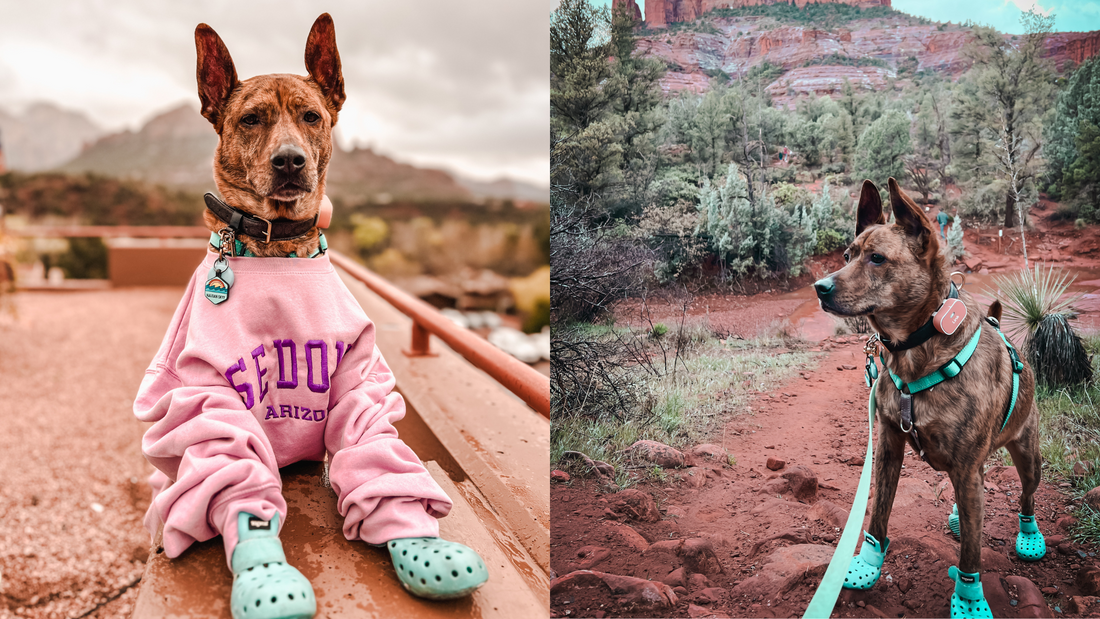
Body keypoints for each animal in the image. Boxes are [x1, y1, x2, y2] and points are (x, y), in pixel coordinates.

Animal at [818, 178, 1038, 606]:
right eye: (848, 255)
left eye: (877, 259)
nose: (819, 287)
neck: (918, 347)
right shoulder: (889, 444)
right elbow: (879, 513)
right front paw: (868, 563)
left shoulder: (967, 468)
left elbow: (971, 552)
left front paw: (969, 601)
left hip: (1027, 456)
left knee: (1026, 497)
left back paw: (1029, 536)